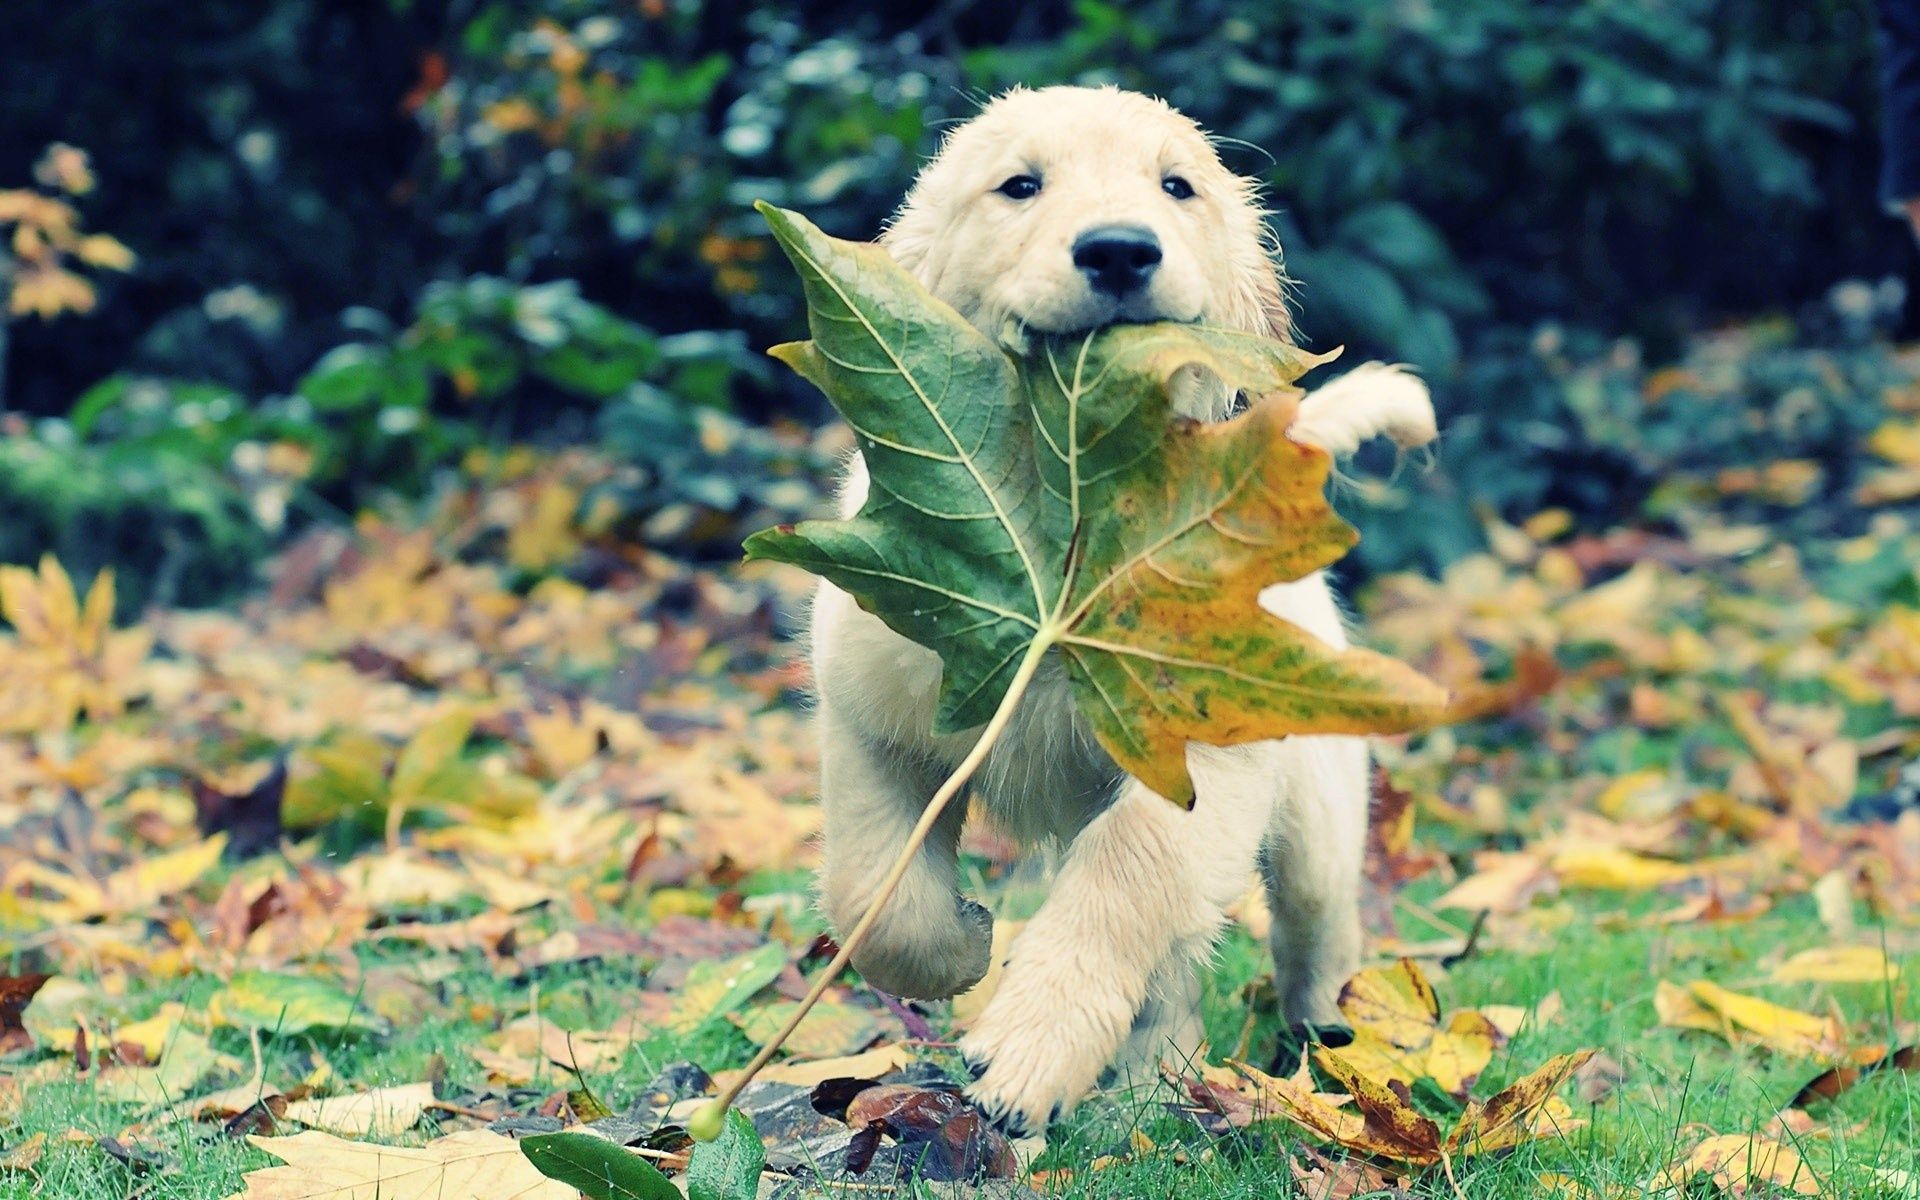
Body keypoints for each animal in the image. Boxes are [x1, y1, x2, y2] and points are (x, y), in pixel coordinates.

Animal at [802, 84, 1436, 1128]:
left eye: (1177, 186)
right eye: (1019, 185)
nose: (1118, 250)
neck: (1066, 519)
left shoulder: (1202, 760)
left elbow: (1127, 876)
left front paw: (1030, 1045)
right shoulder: (874, 718)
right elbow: (874, 892)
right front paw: (961, 947)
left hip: (1317, 810)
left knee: (1310, 931)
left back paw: (1319, 1042)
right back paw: (1153, 1074)